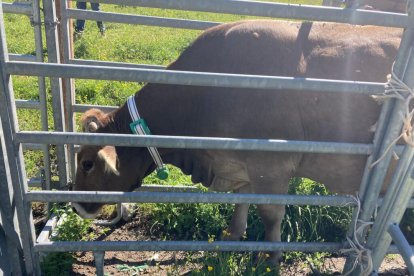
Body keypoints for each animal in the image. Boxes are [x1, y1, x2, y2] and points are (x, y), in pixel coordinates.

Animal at [73, 20, 402, 264]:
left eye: (87, 163)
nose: (76, 205)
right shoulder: (240, 160)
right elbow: (240, 199)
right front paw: (232, 235)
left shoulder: (271, 164)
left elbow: (270, 215)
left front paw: (270, 257)